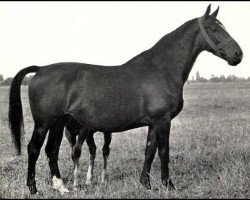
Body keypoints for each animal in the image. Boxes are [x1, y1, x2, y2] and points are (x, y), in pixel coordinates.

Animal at [8, 4, 242, 195]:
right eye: (215, 29)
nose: (238, 55)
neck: (161, 69)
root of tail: (40, 69)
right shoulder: (163, 121)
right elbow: (164, 152)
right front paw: (168, 185)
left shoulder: (153, 123)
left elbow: (149, 151)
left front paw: (146, 184)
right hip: (44, 123)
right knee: (34, 149)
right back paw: (33, 188)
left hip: (58, 123)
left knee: (51, 150)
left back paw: (61, 187)